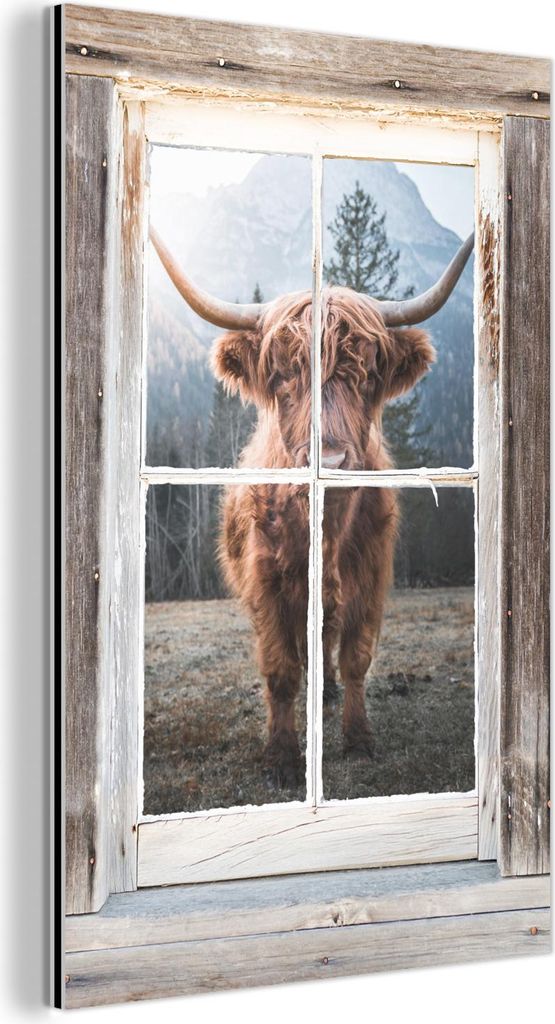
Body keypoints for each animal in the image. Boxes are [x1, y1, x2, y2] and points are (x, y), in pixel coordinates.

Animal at [150, 227, 474, 787]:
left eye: (366, 374)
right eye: (282, 376)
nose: (331, 460)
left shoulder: (370, 575)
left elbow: (356, 658)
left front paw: (359, 739)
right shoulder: (266, 582)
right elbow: (280, 669)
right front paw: (280, 757)